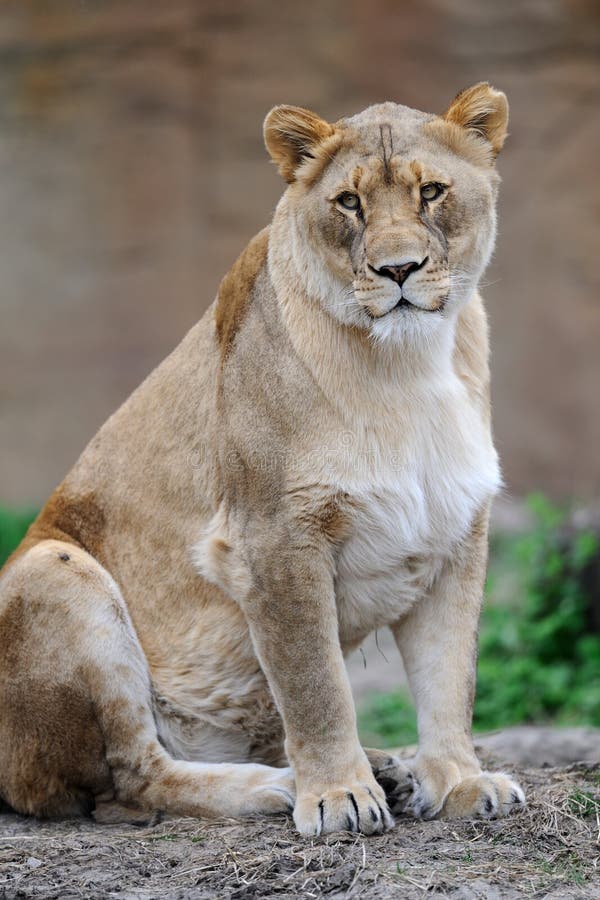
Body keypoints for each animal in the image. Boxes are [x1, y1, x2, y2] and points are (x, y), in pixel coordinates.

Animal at [0, 83, 525, 836]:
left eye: (431, 192)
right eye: (349, 202)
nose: (398, 269)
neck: (407, 366)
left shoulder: (455, 530)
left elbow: (451, 676)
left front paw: (457, 781)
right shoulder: (272, 536)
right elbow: (314, 683)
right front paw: (337, 798)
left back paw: (390, 770)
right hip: (51, 569)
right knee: (130, 780)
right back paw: (273, 787)